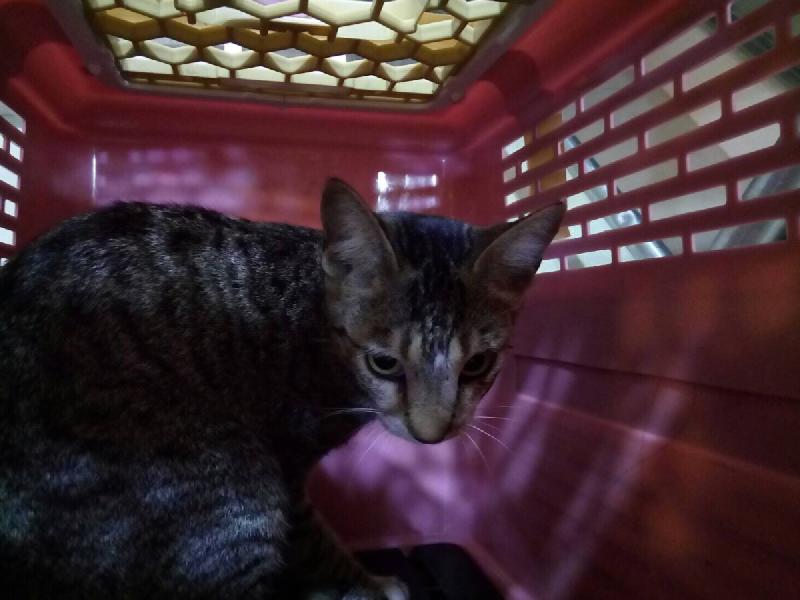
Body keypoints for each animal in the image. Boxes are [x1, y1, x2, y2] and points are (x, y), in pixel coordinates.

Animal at [0, 178, 564, 599]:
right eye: (384, 363)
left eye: (478, 365)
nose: (431, 435)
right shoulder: (287, 467)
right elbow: (315, 540)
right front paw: (370, 583)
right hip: (233, 483)